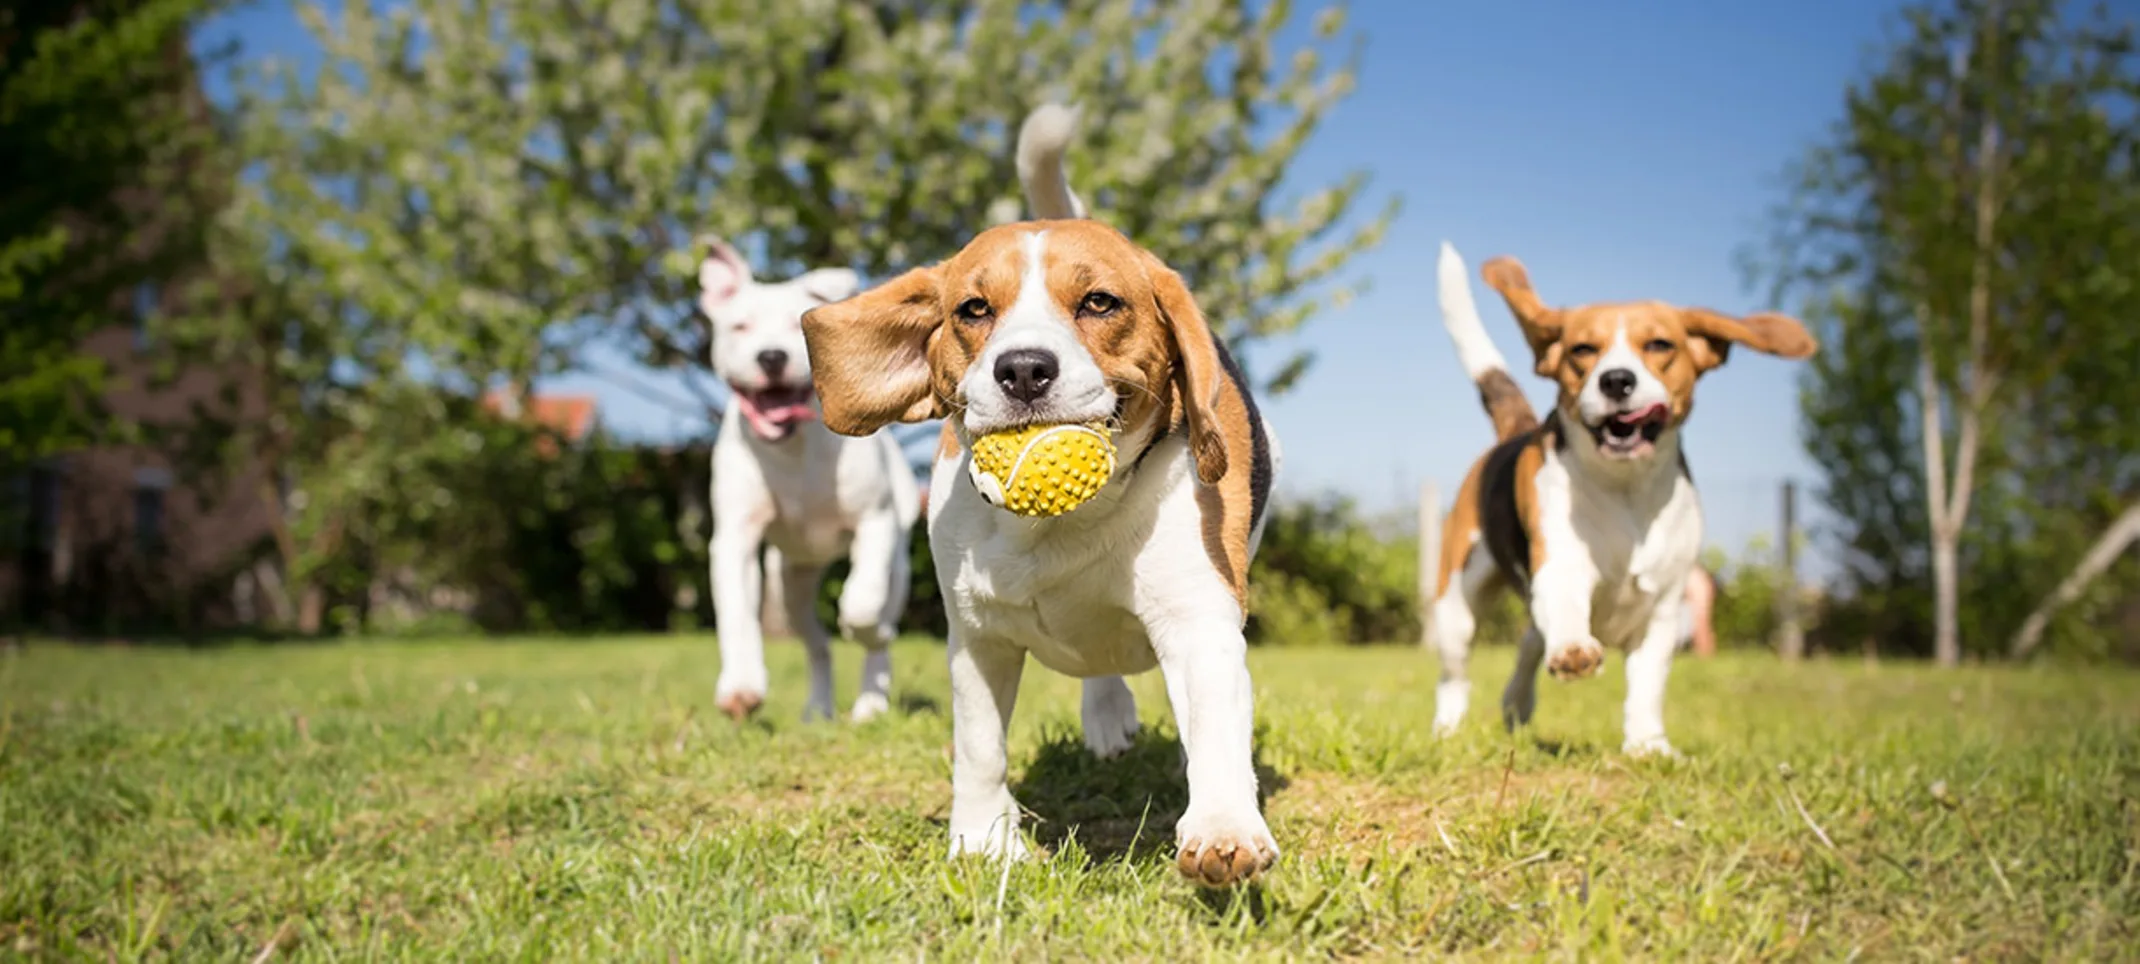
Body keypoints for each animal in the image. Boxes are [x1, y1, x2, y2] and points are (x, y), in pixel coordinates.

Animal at [701, 238, 920, 724]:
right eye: (739, 326)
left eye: (795, 325)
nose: (771, 356)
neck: (793, 447)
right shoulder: (735, 538)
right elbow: (736, 614)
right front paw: (741, 686)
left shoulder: (874, 523)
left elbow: (861, 603)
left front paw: (865, 627)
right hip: (790, 585)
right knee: (817, 644)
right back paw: (818, 708)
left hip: (897, 563)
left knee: (879, 626)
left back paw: (871, 702)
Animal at [796, 107, 1275, 886]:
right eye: (973, 309)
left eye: (1100, 302)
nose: (1022, 368)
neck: (1059, 526)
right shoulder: (977, 637)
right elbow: (980, 747)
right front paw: (983, 841)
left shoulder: (1198, 619)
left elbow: (1213, 729)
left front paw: (1223, 827)